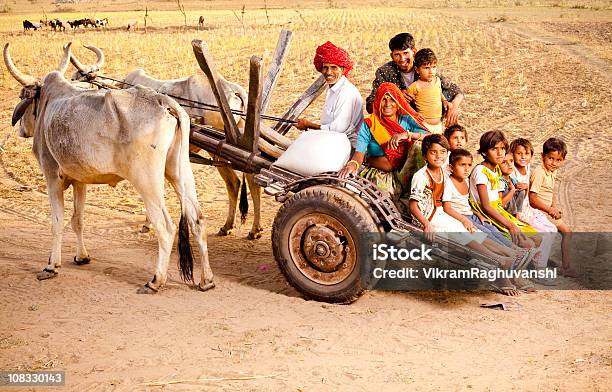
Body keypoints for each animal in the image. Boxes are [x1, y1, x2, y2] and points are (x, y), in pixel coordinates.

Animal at [2, 43, 215, 294]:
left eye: (22, 96)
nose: (20, 129)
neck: (47, 104)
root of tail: (164, 102)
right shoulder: (80, 180)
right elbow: (77, 219)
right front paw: (82, 257)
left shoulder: (51, 175)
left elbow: (57, 221)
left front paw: (51, 266)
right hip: (179, 171)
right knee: (197, 220)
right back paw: (206, 280)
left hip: (147, 181)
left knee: (165, 226)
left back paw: (155, 281)